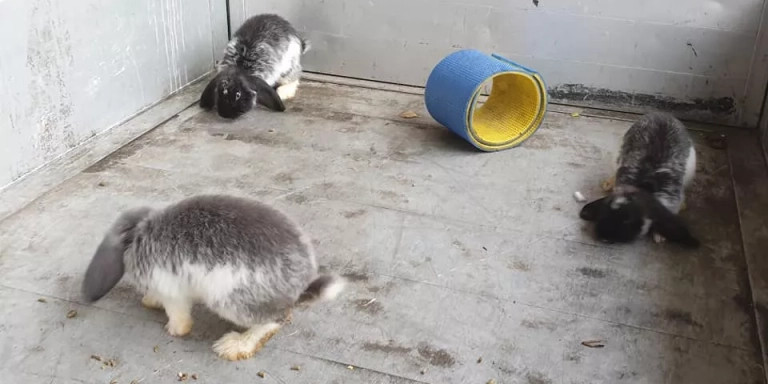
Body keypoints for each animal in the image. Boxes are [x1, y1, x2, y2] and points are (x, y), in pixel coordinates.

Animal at [82, 195, 344, 360]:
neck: (139, 233)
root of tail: (299, 287)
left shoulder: (171, 290)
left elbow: (179, 315)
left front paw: (175, 330)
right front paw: (150, 301)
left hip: (230, 302)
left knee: (271, 323)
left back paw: (232, 345)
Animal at [580, 112, 700, 248]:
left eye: (628, 220)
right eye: (604, 211)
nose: (603, 238)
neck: (644, 187)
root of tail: (661, 114)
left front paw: (659, 236)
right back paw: (608, 183)